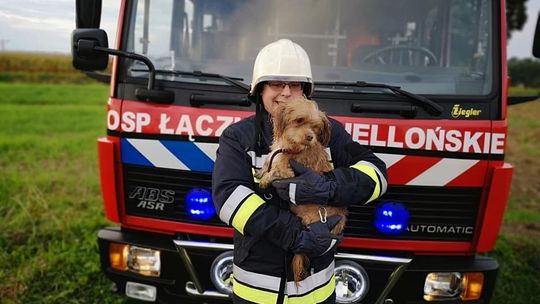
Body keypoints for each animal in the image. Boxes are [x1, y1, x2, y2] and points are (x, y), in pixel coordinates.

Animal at [256, 96, 348, 284]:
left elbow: (274, 171)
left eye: (316, 127)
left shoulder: (289, 172)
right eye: (299, 120)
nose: (310, 137)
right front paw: (261, 172)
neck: (291, 147)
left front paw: (265, 179)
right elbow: (269, 163)